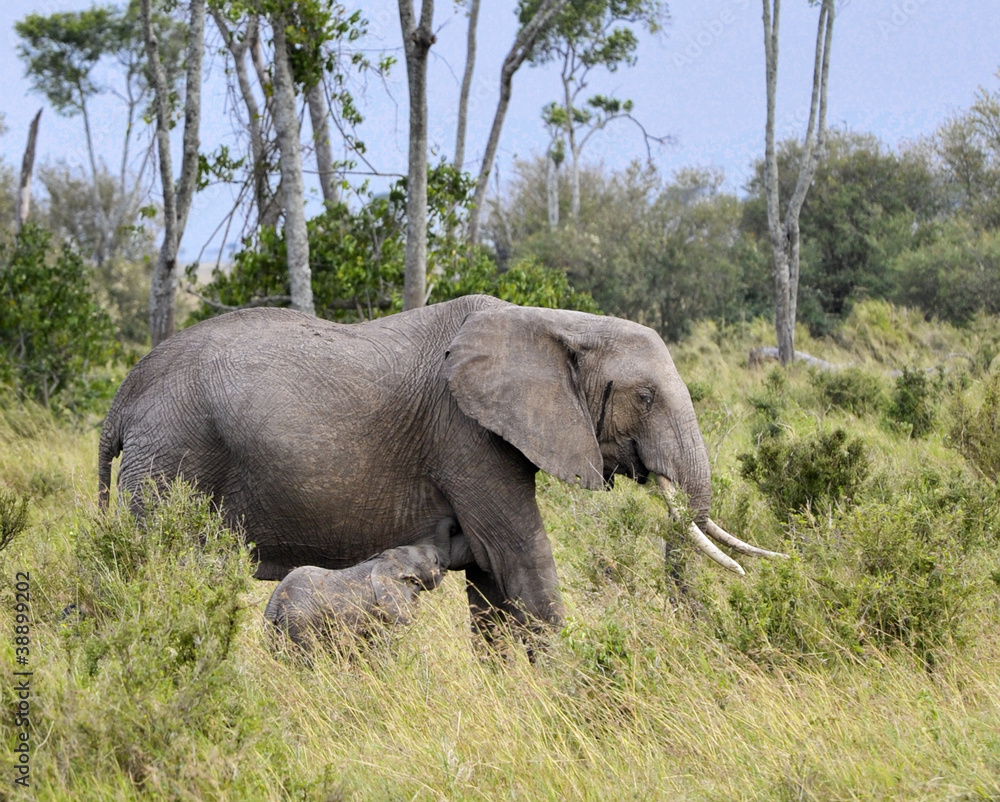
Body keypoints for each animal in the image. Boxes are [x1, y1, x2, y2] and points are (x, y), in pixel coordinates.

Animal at [95, 294, 780, 632]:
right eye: (645, 397)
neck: (555, 323)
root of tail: (121, 399)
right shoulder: (465, 434)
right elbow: (519, 558)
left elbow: (490, 579)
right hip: (171, 461)